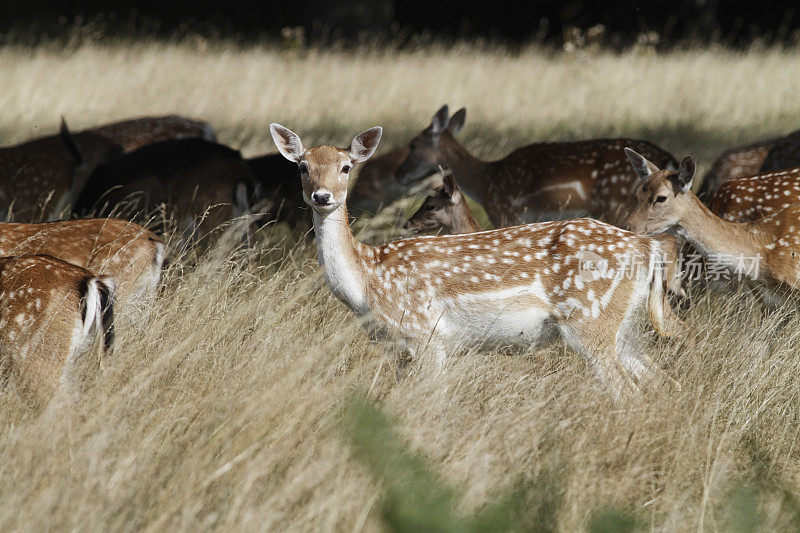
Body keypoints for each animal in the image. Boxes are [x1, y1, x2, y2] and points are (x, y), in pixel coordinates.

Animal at [270, 121, 680, 394]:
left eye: (346, 167)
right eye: (302, 167)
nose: (322, 196)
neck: (366, 282)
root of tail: (648, 249)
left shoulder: (426, 335)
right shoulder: (400, 348)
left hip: (590, 321)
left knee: (624, 389)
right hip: (624, 326)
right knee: (656, 377)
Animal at [394, 105, 676, 227]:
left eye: (413, 144)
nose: (399, 174)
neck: (486, 183)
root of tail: (667, 158)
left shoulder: (506, 212)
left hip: (618, 204)